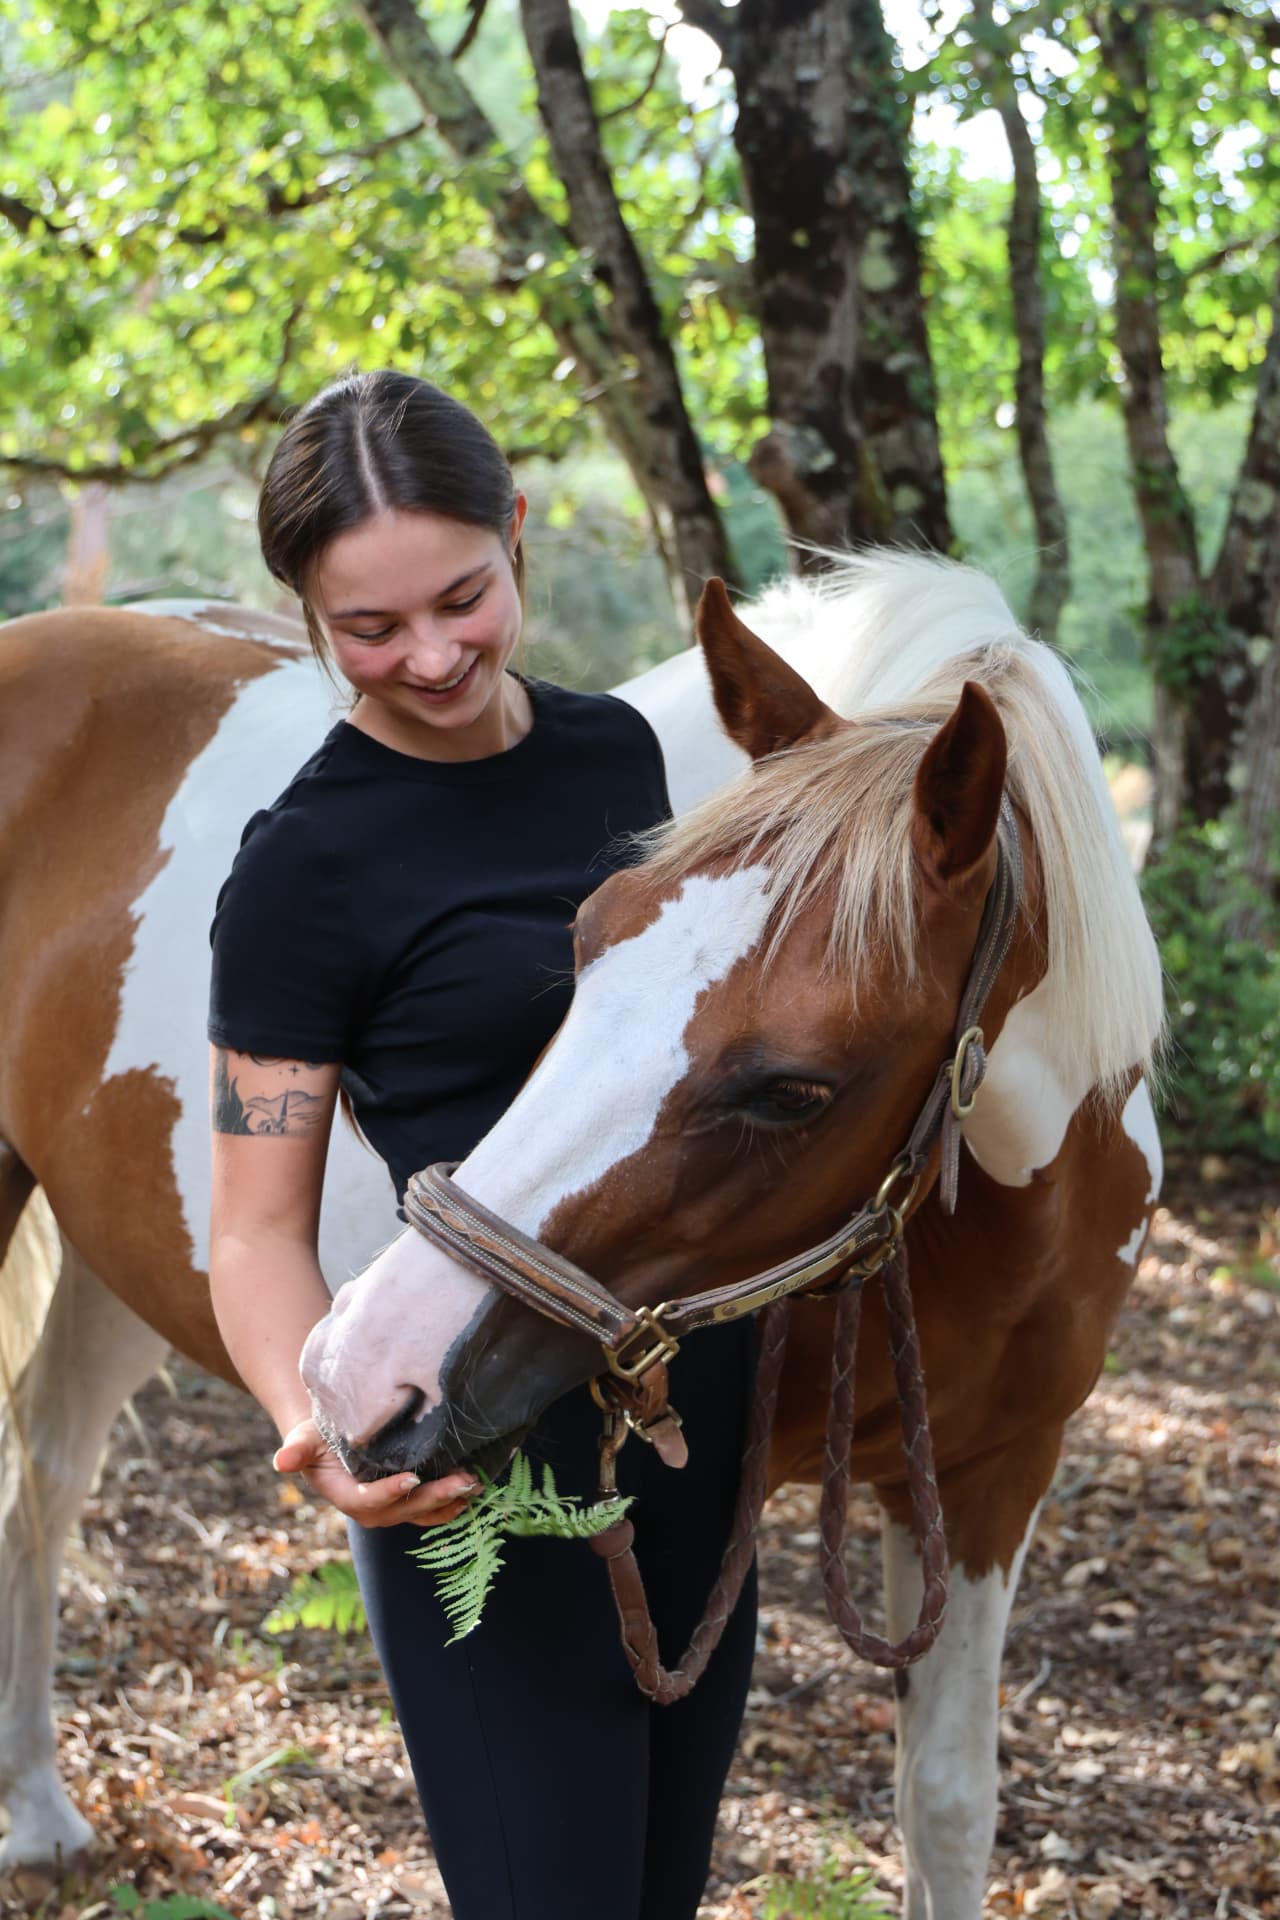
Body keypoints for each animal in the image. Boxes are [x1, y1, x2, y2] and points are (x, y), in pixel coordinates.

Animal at [0, 554, 1163, 1917]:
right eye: (586, 936)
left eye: (794, 1089)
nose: (363, 1369)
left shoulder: (993, 1475)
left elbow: (944, 1803)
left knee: (46, 1472)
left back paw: (37, 1802)